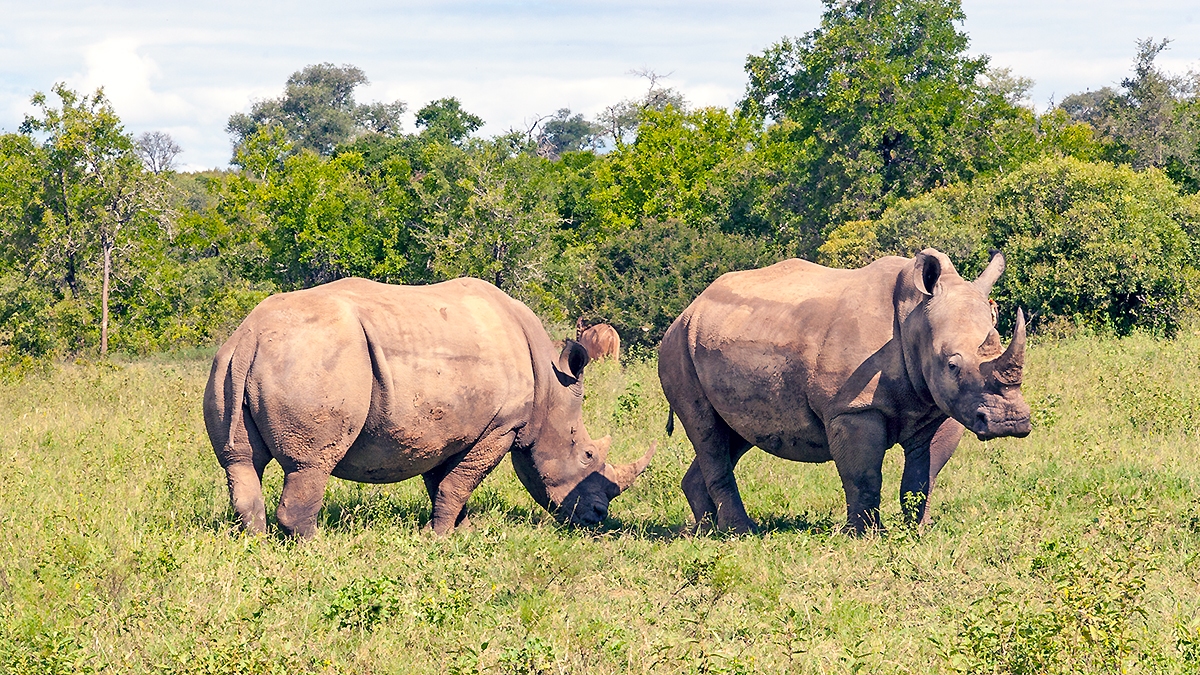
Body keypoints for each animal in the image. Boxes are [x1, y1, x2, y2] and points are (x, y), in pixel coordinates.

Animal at [204, 277, 654, 537]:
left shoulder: (451, 427)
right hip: (314, 358)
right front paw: (437, 539)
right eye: (587, 454)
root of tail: (251, 336)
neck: (550, 387)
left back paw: (256, 541)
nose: (597, 517)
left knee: (240, 461)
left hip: (235, 361)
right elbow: (458, 481)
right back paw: (314, 547)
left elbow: (445, 481)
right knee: (312, 464)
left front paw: (460, 532)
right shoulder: (501, 427)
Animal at [658, 249, 1030, 534]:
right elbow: (863, 474)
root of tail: (688, 308)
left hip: (714, 339)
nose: (1010, 422)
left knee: (732, 435)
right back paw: (740, 532)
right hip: (677, 348)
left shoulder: (940, 407)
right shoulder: (852, 408)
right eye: (952, 365)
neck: (915, 318)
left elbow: (923, 475)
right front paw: (866, 536)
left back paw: (706, 531)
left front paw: (919, 531)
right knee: (707, 430)